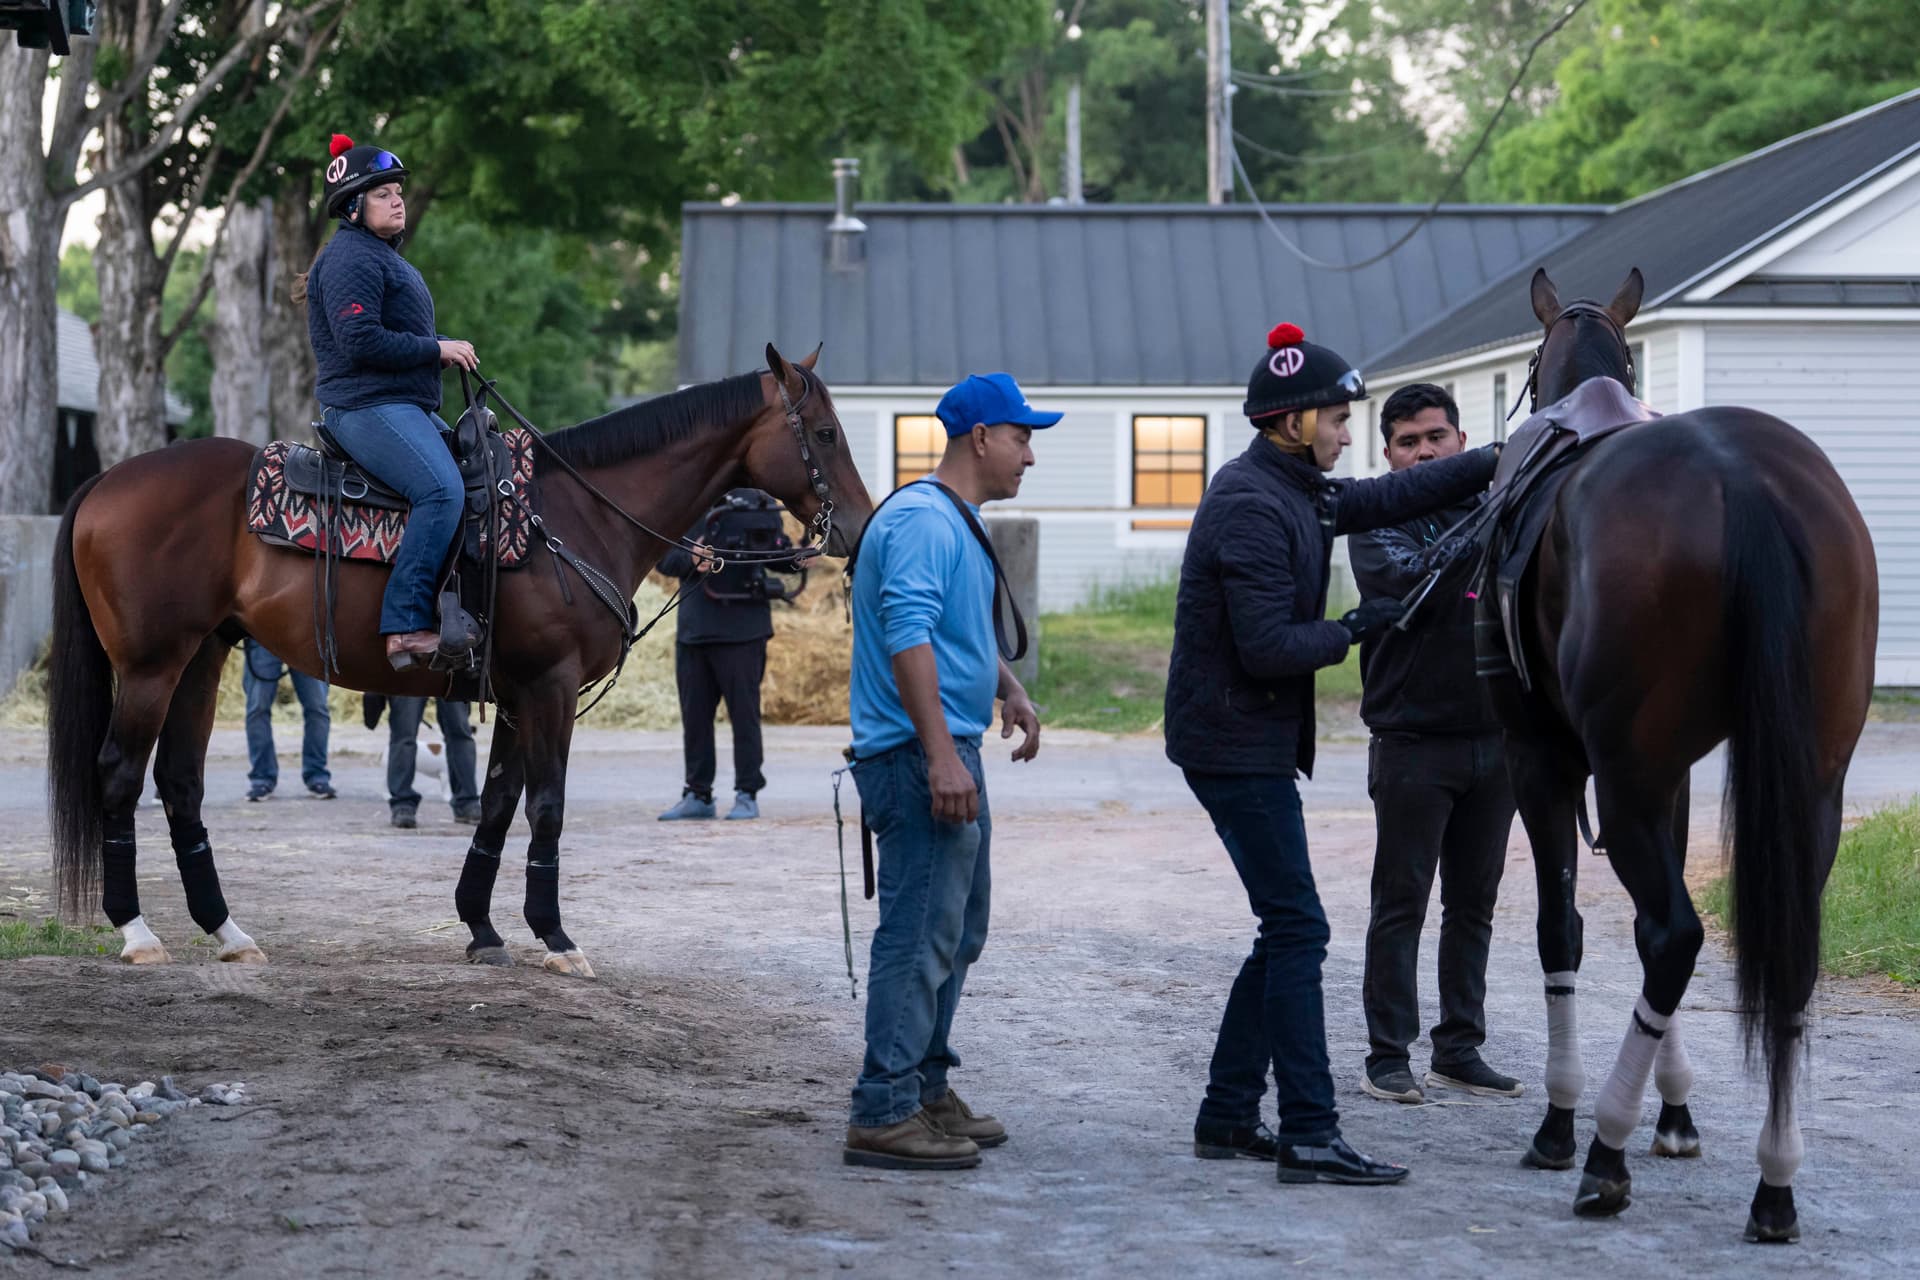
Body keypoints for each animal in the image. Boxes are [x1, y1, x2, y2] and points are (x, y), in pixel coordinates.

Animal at [46, 344, 873, 979]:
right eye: (826, 433)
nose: (858, 528)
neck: (574, 517)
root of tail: (105, 481)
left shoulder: (513, 694)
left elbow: (500, 803)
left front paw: (481, 927)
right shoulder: (549, 687)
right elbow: (546, 806)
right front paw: (556, 937)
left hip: (201, 658)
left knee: (179, 783)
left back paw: (227, 931)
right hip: (152, 665)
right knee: (119, 773)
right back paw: (137, 931)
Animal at [1488, 268, 1877, 1241]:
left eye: (1525, 370)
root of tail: (1741, 481)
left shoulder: (1544, 760)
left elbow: (1566, 929)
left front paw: (1564, 1119)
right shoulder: (1673, 781)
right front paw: (1675, 1108)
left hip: (1620, 780)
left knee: (1676, 935)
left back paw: (1603, 1152)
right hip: (1813, 785)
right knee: (1786, 954)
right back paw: (1775, 1183)